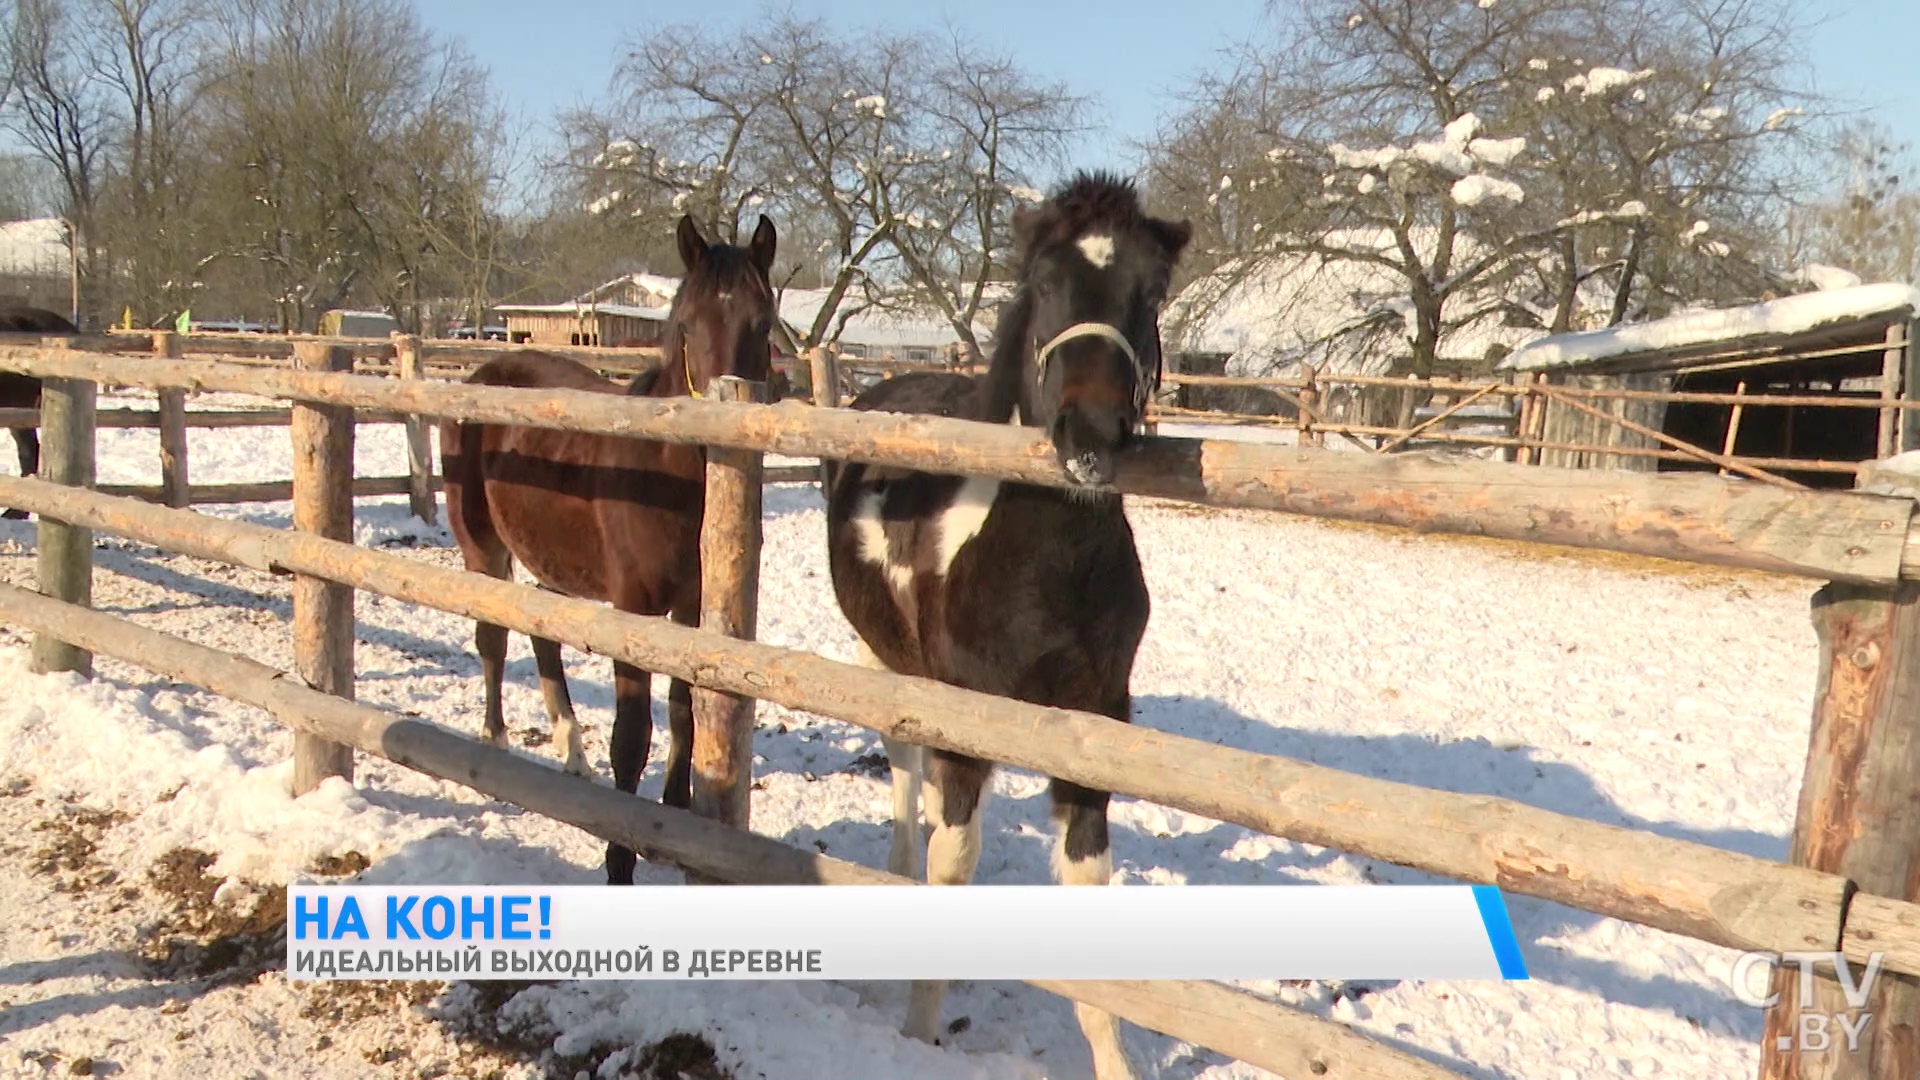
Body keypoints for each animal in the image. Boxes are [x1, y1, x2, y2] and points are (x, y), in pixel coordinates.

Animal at [441, 212, 779, 883]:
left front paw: (674, 823)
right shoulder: (634, 608)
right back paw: (495, 746)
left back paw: (571, 749)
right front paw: (620, 857)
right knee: (493, 637)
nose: (715, 432)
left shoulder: (690, 610)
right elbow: (632, 736)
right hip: (482, 548)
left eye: (763, 322)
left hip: (548, 557)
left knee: (543, 635)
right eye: (686, 324)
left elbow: (682, 712)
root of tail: (483, 376)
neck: (666, 473)